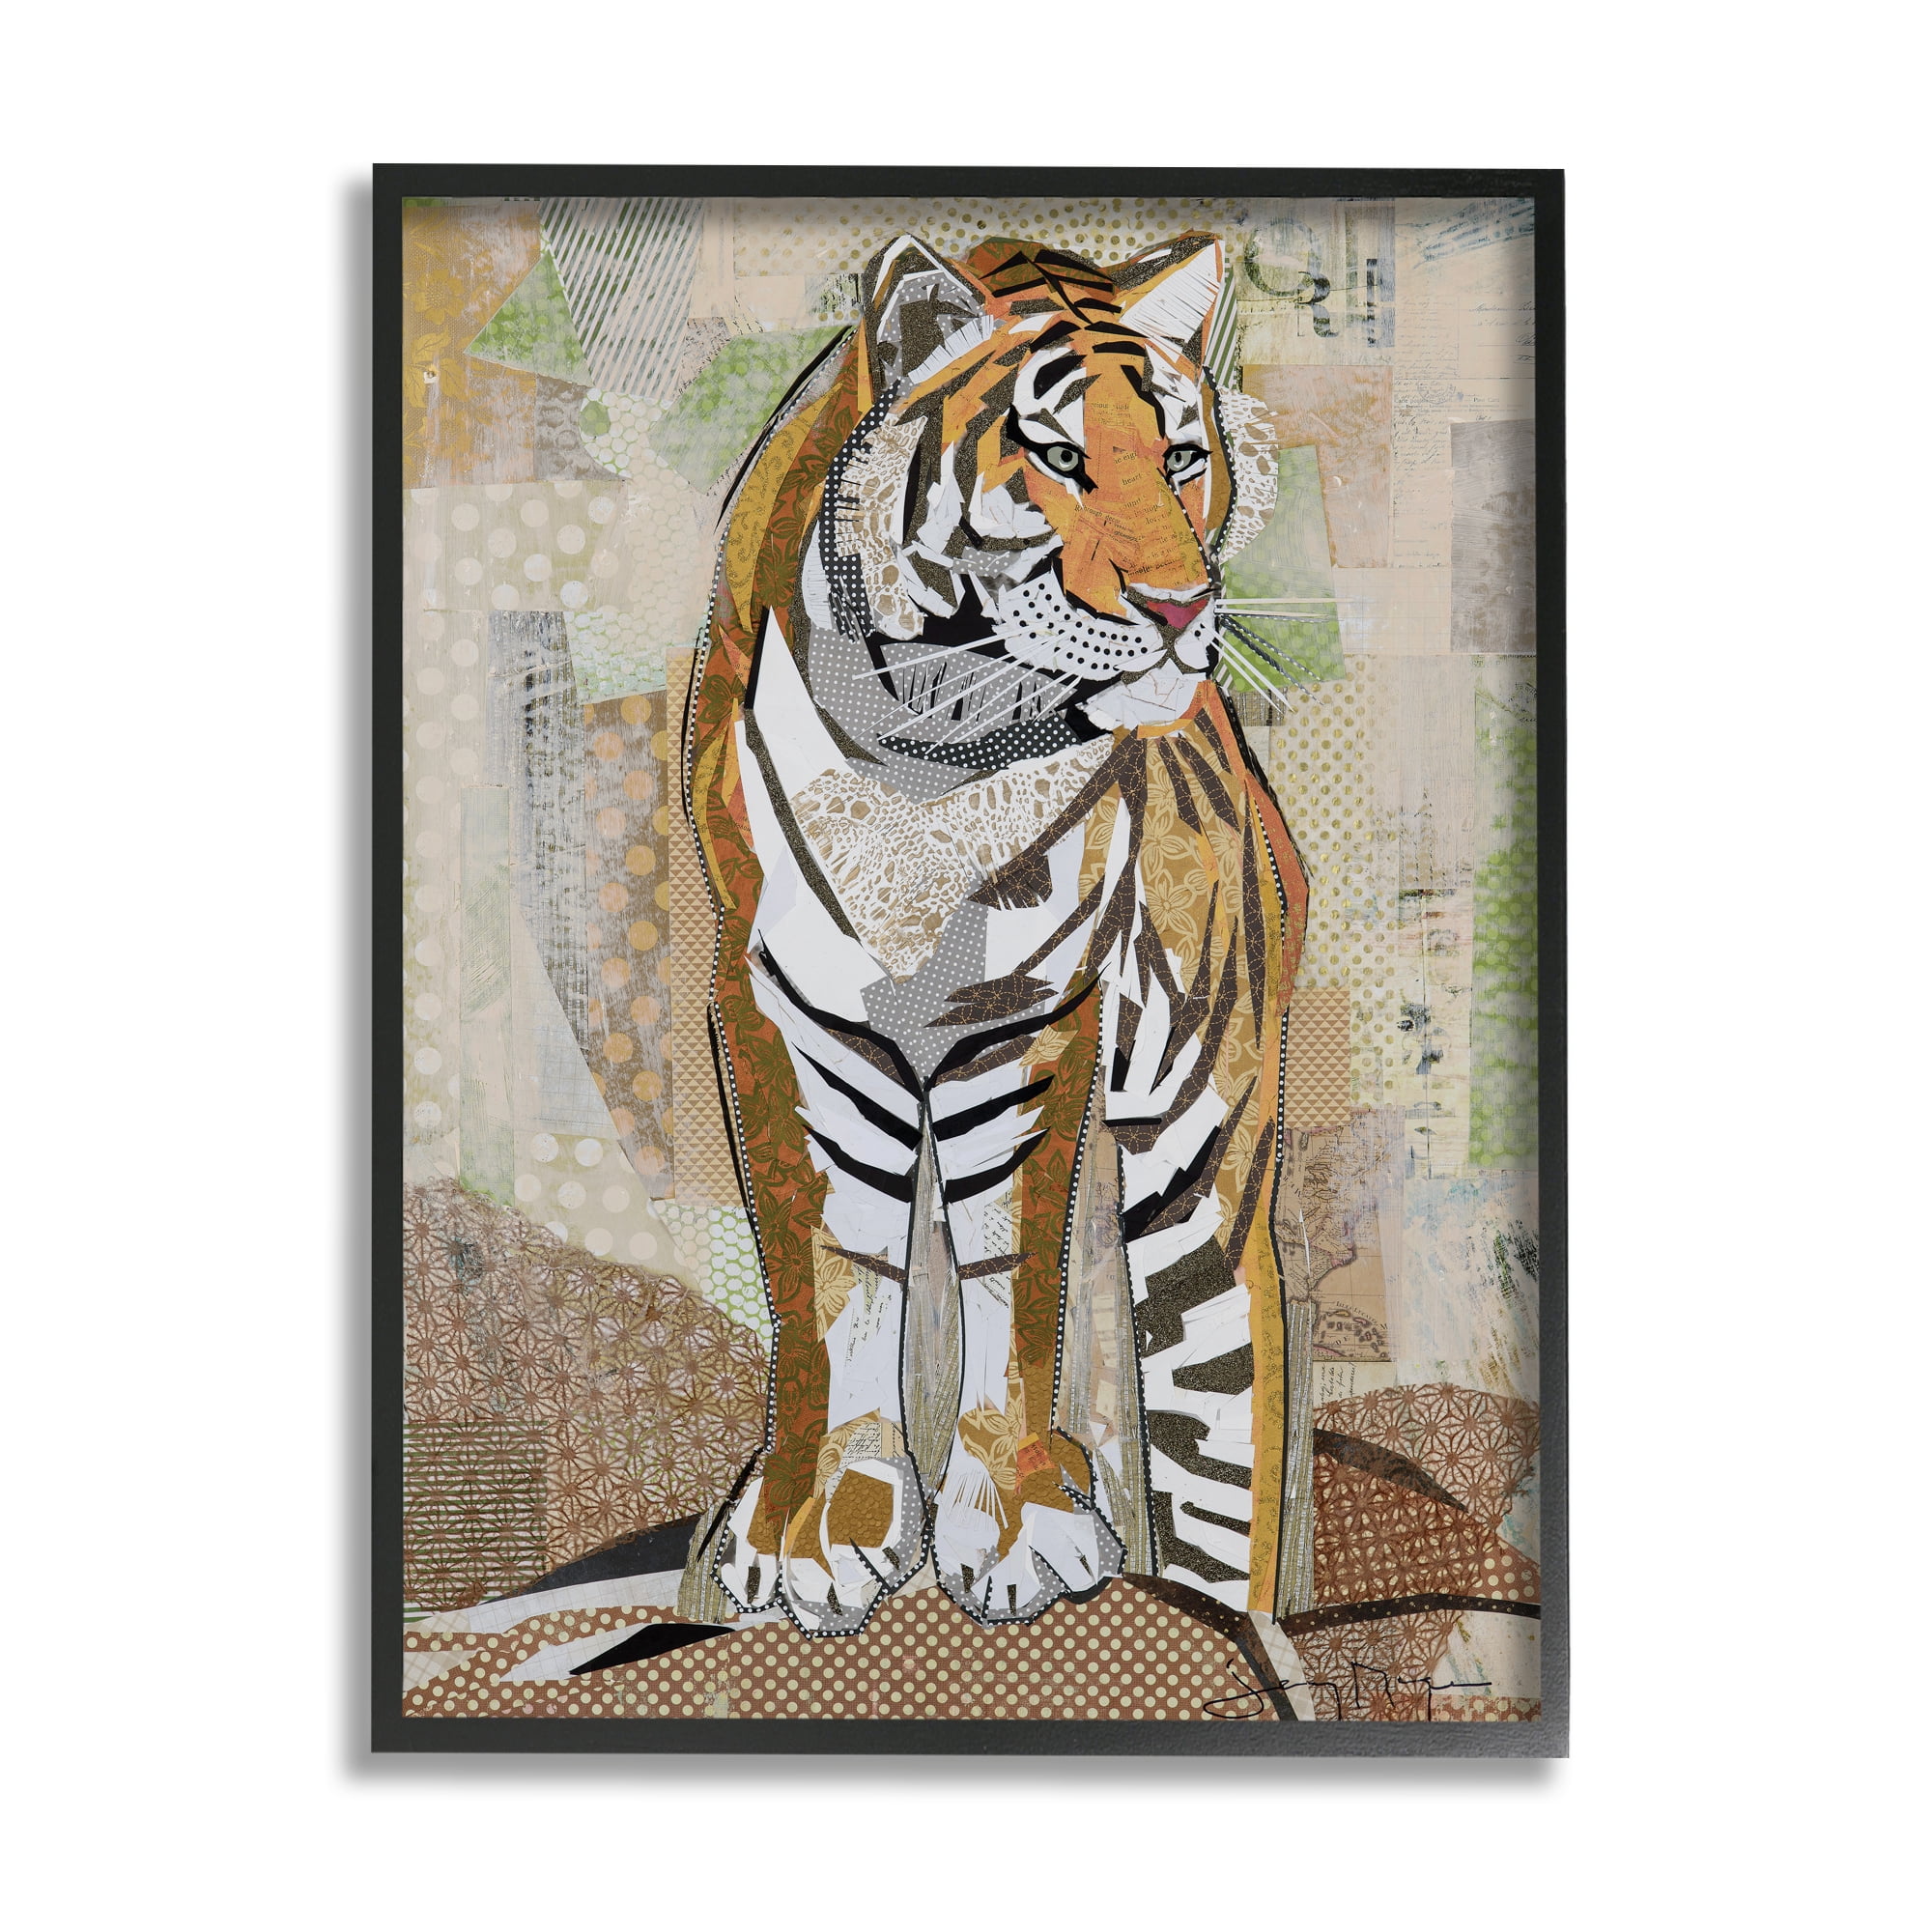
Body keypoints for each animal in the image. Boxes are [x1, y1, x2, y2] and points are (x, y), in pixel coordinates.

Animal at [679, 231, 1310, 1638]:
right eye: (1063, 458)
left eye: (1179, 457)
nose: (1182, 607)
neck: (930, 758)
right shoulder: (782, 1004)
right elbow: (829, 1277)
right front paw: (812, 1525)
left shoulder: (1026, 1018)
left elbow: (1012, 1282)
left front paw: (1016, 1523)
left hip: (1201, 1175)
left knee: (1215, 1439)